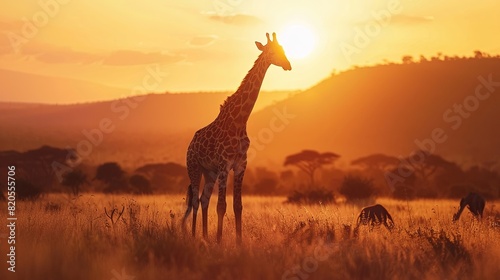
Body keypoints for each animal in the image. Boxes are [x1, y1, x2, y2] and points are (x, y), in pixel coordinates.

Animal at [182, 32, 292, 243]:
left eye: (283, 49)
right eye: (273, 51)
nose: (288, 65)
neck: (240, 120)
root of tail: (190, 144)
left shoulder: (241, 165)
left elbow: (237, 206)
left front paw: (239, 242)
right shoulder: (225, 165)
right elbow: (221, 206)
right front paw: (219, 241)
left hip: (210, 172)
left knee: (204, 199)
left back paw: (205, 236)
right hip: (194, 167)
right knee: (195, 200)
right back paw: (193, 236)